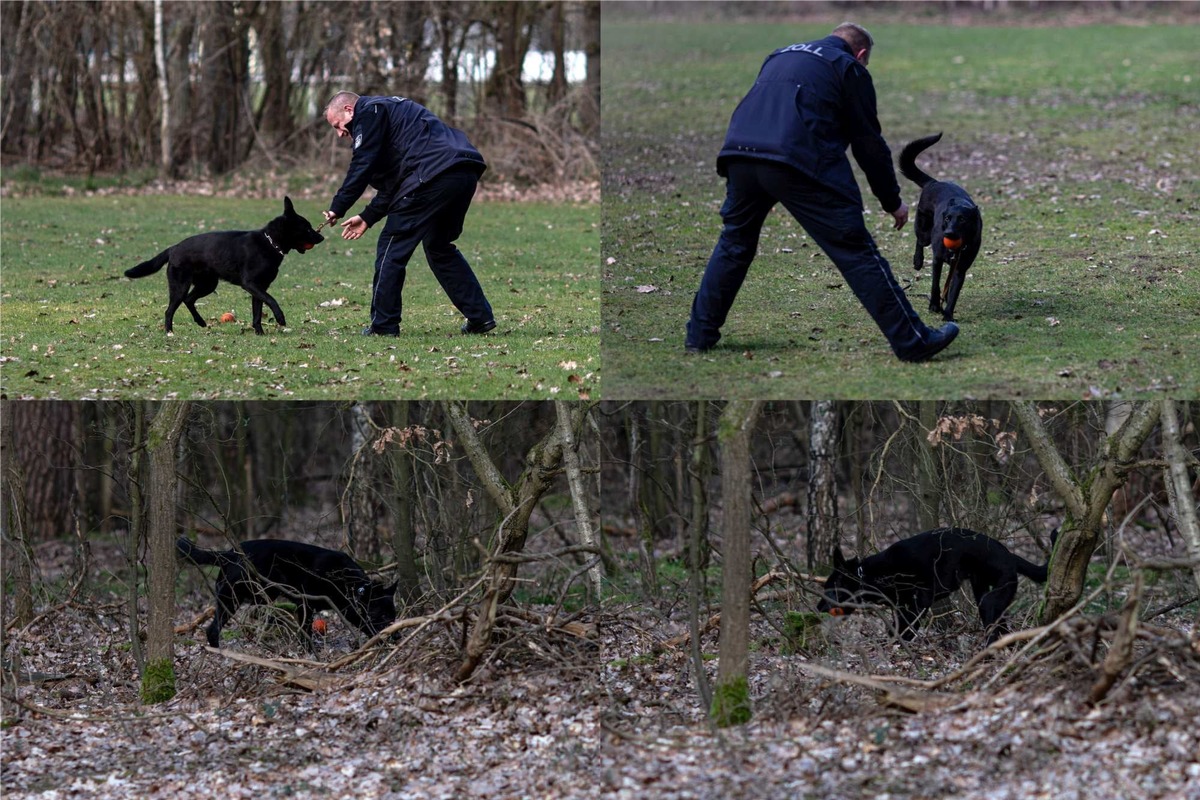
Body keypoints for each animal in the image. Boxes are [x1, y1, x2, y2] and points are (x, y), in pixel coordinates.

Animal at [125, 196, 324, 335]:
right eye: (307, 228)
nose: (322, 237)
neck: (269, 243)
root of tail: (173, 248)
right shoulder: (251, 285)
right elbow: (272, 300)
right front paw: (280, 318)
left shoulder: (259, 288)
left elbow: (257, 313)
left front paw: (260, 333)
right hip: (181, 286)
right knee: (169, 310)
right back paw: (169, 332)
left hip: (208, 284)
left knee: (189, 300)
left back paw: (201, 322)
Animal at [176, 537, 398, 652]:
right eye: (382, 615)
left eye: (394, 616)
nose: (398, 637)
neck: (351, 585)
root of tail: (229, 553)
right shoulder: (306, 605)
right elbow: (305, 633)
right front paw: (310, 653)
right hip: (233, 599)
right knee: (213, 629)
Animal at [816, 527, 1051, 647]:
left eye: (831, 588)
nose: (817, 608)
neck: (868, 575)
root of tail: (1010, 556)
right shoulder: (902, 606)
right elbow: (898, 627)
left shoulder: (918, 603)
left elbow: (907, 629)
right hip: (986, 594)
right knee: (1003, 627)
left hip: (990, 600)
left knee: (994, 629)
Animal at [902, 133, 984, 321]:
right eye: (947, 218)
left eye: (962, 220)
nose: (949, 233)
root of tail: (934, 182)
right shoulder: (937, 260)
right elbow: (935, 285)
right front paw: (934, 305)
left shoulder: (961, 268)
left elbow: (954, 291)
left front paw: (947, 314)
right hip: (924, 230)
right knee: (920, 241)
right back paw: (918, 261)